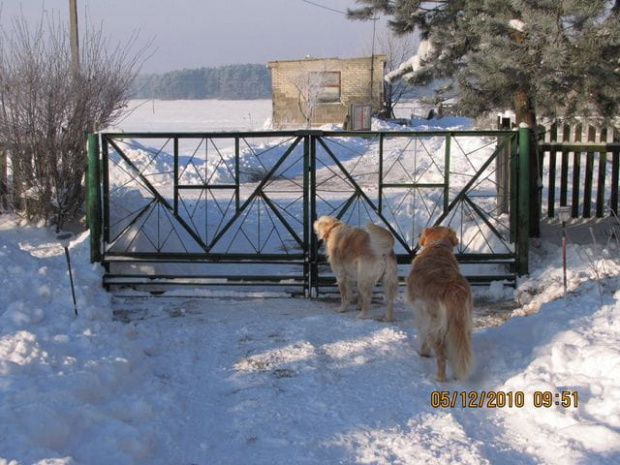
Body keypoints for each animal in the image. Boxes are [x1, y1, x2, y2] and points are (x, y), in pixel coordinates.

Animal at [406, 225, 474, 380]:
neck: (437, 246)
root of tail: (453, 289)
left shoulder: (420, 314)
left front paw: (423, 353)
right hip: (464, 324)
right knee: (460, 350)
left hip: (434, 327)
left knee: (441, 357)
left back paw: (439, 378)